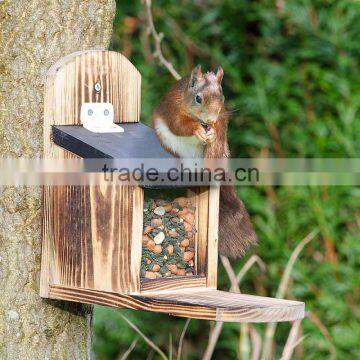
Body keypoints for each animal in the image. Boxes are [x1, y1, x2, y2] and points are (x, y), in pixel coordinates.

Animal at [152, 64, 256, 256]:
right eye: (198, 98)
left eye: (222, 97)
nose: (210, 119)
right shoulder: (173, 107)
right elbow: (178, 125)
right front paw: (196, 129)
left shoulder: (222, 117)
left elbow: (219, 127)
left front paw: (212, 132)